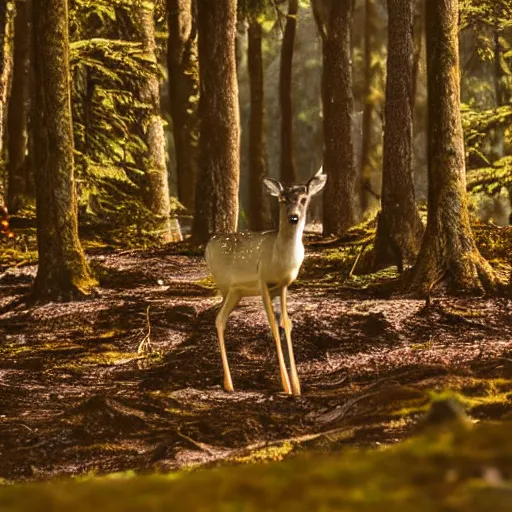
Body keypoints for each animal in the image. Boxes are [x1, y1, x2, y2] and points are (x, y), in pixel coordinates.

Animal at [205, 168, 328, 396]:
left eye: (304, 199)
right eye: (282, 199)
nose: (294, 217)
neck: (280, 259)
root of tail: (207, 246)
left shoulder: (283, 286)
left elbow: (286, 323)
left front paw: (297, 386)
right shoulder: (262, 281)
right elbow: (272, 324)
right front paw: (286, 386)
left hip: (236, 293)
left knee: (221, 318)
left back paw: (228, 382)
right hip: (226, 285)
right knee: (218, 318)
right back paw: (229, 384)